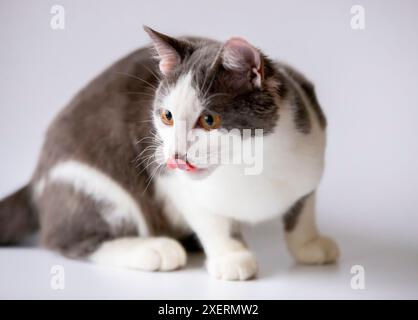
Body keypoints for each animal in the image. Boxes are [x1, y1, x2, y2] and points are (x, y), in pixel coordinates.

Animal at [0, 26, 340, 280]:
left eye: (209, 120)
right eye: (167, 116)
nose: (176, 154)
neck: (253, 165)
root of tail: (37, 178)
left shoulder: (312, 142)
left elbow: (302, 210)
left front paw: (309, 244)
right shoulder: (170, 178)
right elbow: (210, 218)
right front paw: (231, 257)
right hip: (87, 180)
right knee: (67, 239)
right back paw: (153, 249)